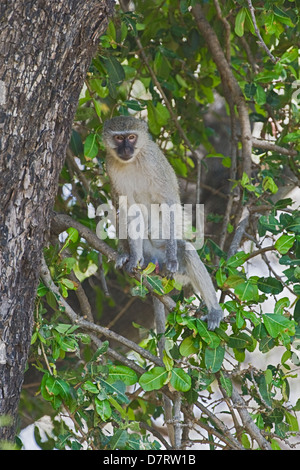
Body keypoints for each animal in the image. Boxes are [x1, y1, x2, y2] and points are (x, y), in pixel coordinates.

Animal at [102, 115, 223, 330]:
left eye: (131, 137)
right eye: (118, 138)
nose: (126, 149)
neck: (133, 161)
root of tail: (155, 262)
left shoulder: (153, 162)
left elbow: (169, 202)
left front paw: (172, 258)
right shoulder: (111, 166)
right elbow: (128, 209)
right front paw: (133, 257)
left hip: (172, 265)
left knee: (188, 252)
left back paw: (214, 311)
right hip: (149, 254)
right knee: (119, 211)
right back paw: (127, 252)